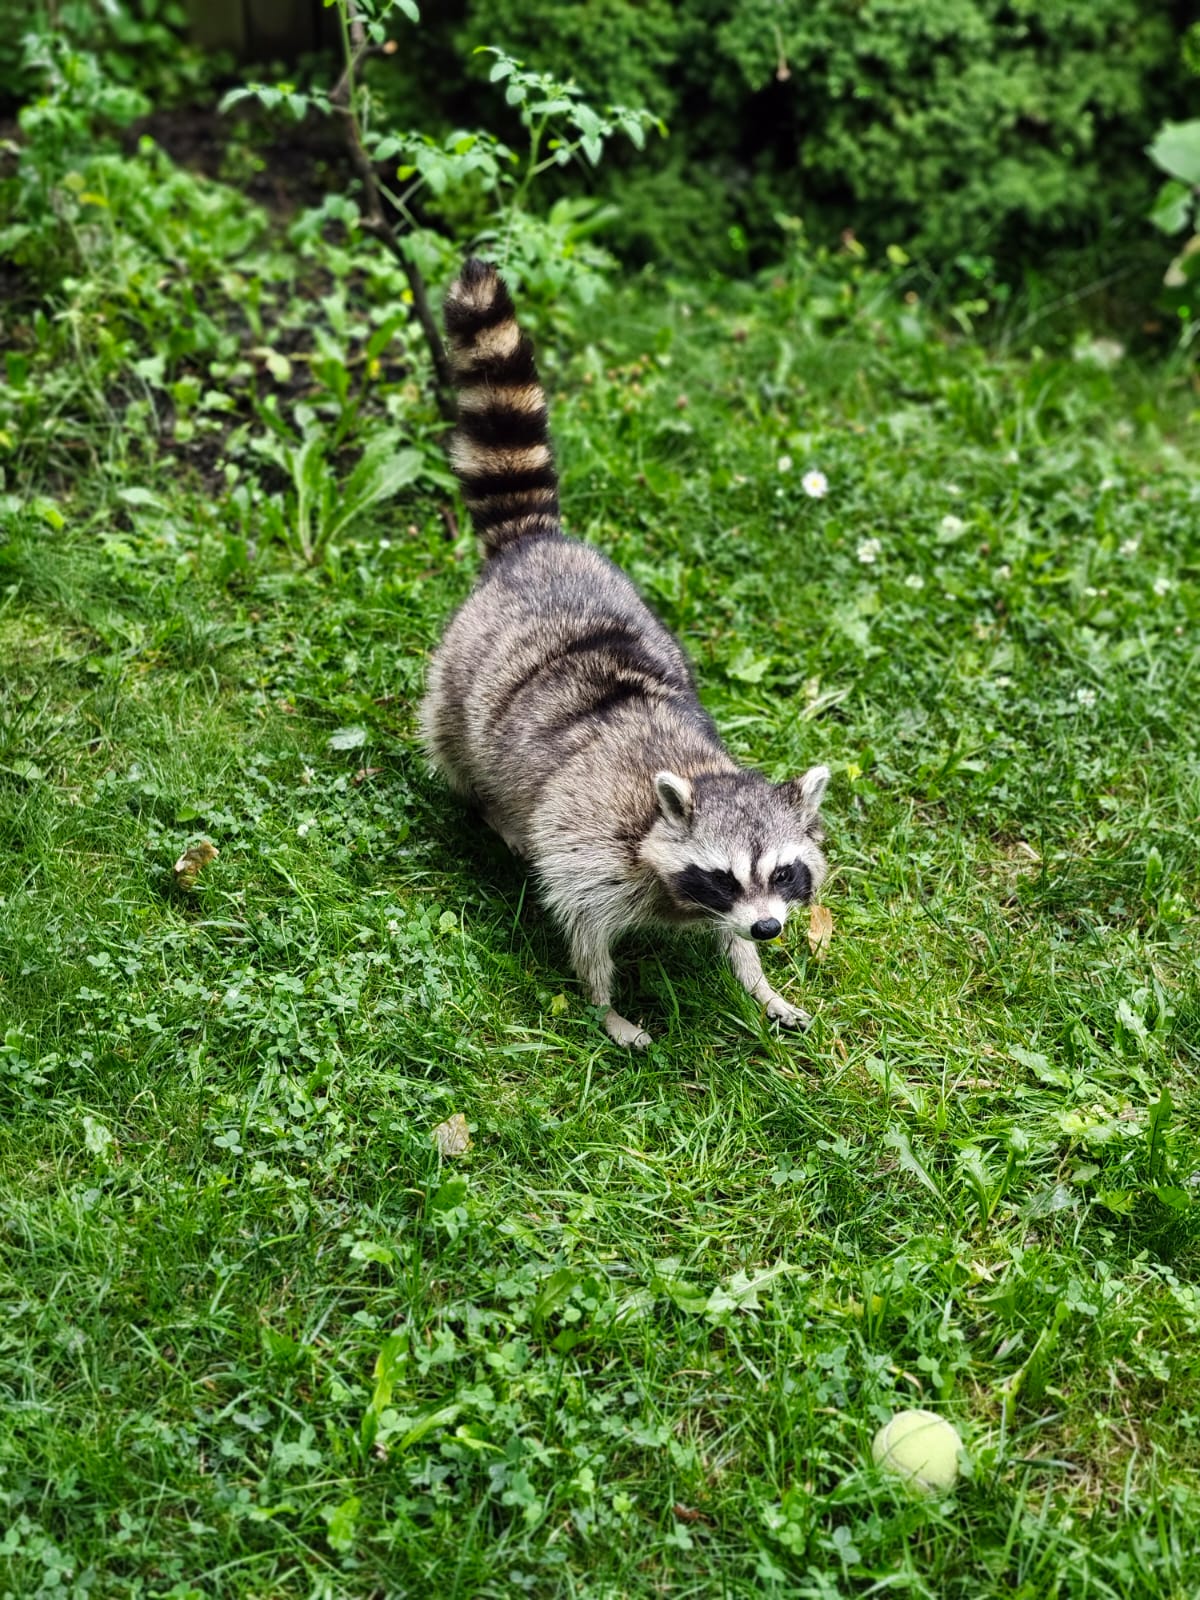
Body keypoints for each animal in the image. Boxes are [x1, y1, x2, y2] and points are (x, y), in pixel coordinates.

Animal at [420, 259, 830, 1049]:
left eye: (784, 874)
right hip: (456, 673)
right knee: (456, 750)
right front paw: (605, 1004)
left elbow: (732, 946)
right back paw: (492, 810)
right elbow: (584, 930)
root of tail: (538, 544)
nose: (770, 928)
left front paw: (758, 980)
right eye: (724, 877)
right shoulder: (589, 848)